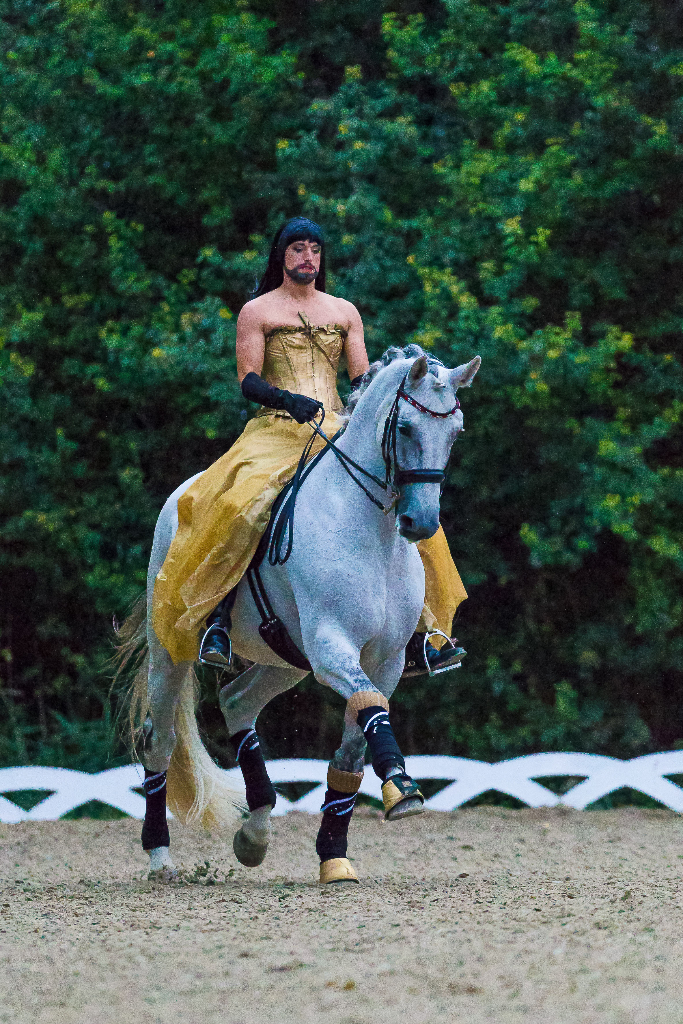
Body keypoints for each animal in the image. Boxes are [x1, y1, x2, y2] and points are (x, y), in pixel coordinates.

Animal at [120, 344, 480, 882]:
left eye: (455, 432)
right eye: (405, 429)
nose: (420, 523)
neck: (370, 529)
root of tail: (179, 498)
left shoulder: (386, 660)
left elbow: (356, 741)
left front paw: (336, 854)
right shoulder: (332, 646)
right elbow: (370, 708)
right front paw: (401, 784)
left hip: (284, 659)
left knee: (236, 703)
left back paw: (254, 834)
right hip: (173, 648)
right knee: (159, 742)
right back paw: (161, 858)